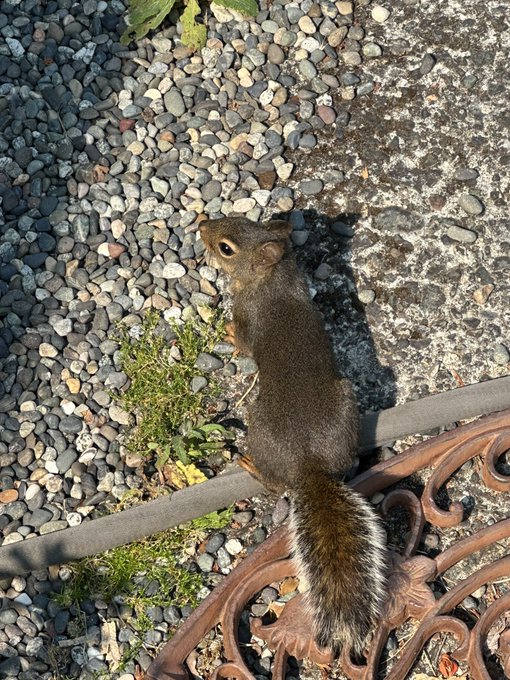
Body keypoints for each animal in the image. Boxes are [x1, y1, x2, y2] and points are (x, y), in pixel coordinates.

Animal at [199, 216, 386, 656]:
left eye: (226, 247)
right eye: (238, 220)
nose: (200, 225)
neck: (275, 279)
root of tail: (309, 464)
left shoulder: (247, 315)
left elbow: (242, 341)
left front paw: (225, 333)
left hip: (257, 421)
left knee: (272, 482)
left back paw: (251, 465)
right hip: (347, 400)